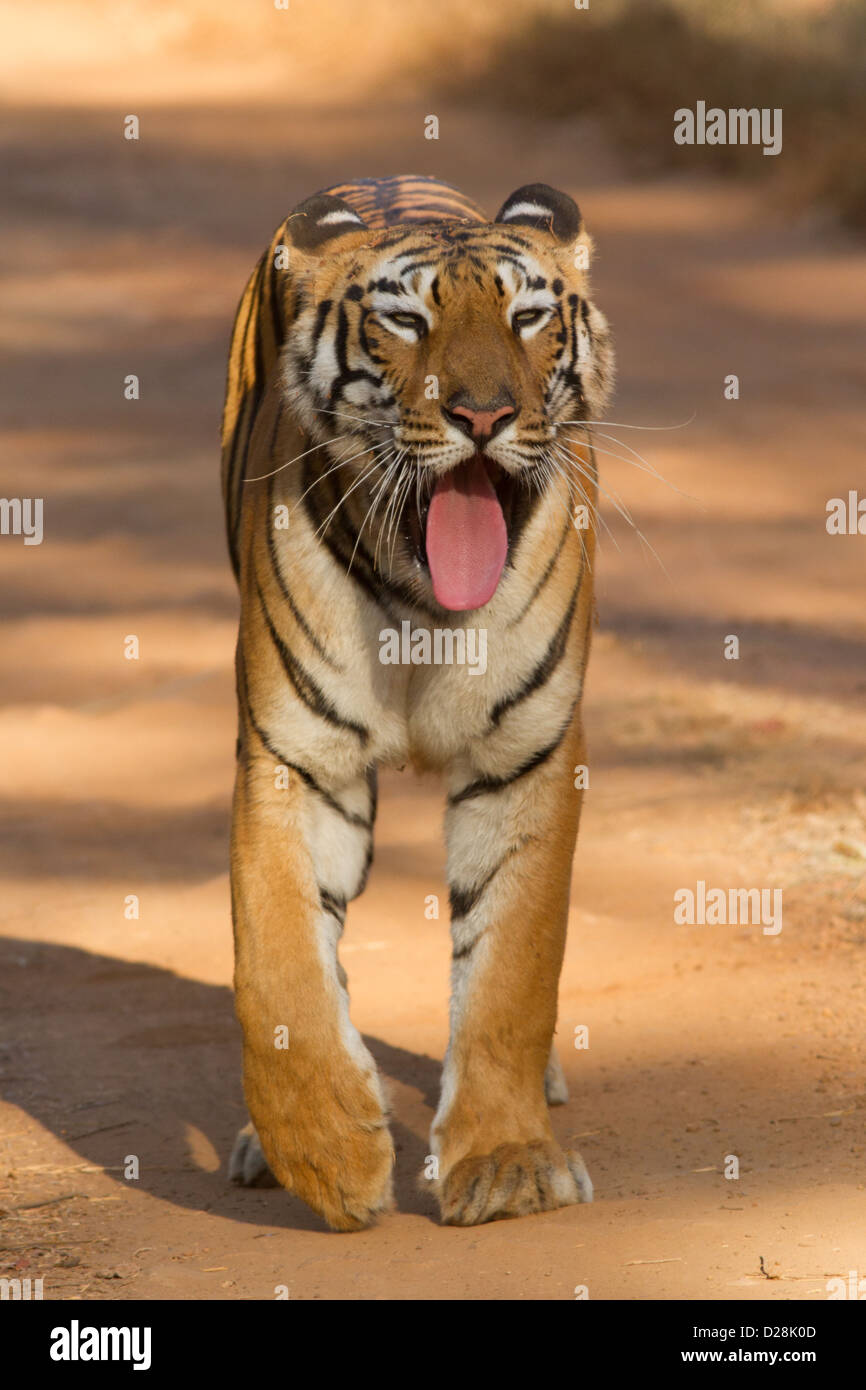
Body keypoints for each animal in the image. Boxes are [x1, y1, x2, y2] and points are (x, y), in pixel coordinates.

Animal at [223, 173, 617, 1228]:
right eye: (406, 321)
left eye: (528, 318)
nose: (483, 416)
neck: (423, 601)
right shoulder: (295, 760)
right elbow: (277, 968)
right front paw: (326, 1154)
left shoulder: (525, 756)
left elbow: (512, 973)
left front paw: (510, 1165)